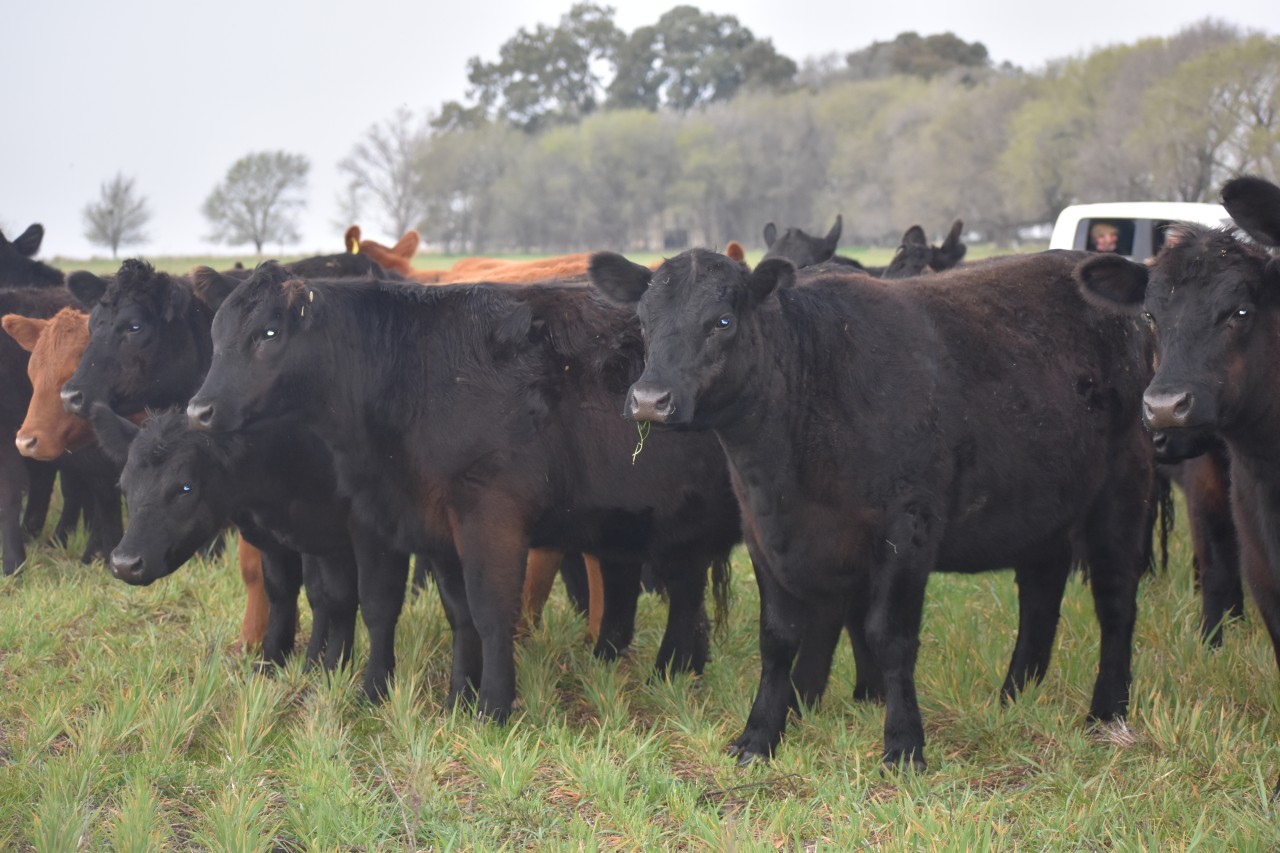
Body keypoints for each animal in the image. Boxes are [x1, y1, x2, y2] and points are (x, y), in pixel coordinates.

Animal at [185, 263, 739, 711]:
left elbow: (491, 610)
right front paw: (450, 698)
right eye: (215, 334)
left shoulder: (488, 513)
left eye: (268, 332)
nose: (198, 411)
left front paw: (493, 707)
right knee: (686, 591)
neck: (411, 372)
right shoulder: (422, 522)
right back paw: (674, 671)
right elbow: (449, 613)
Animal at [590, 247, 1156, 769]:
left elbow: (890, 636)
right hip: (1042, 507)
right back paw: (1014, 695)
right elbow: (777, 639)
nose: (649, 399)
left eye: (722, 321)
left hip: (1122, 492)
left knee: (1116, 603)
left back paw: (1106, 713)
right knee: (1040, 593)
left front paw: (904, 745)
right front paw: (758, 737)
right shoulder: (762, 532)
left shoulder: (907, 529)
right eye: (644, 320)